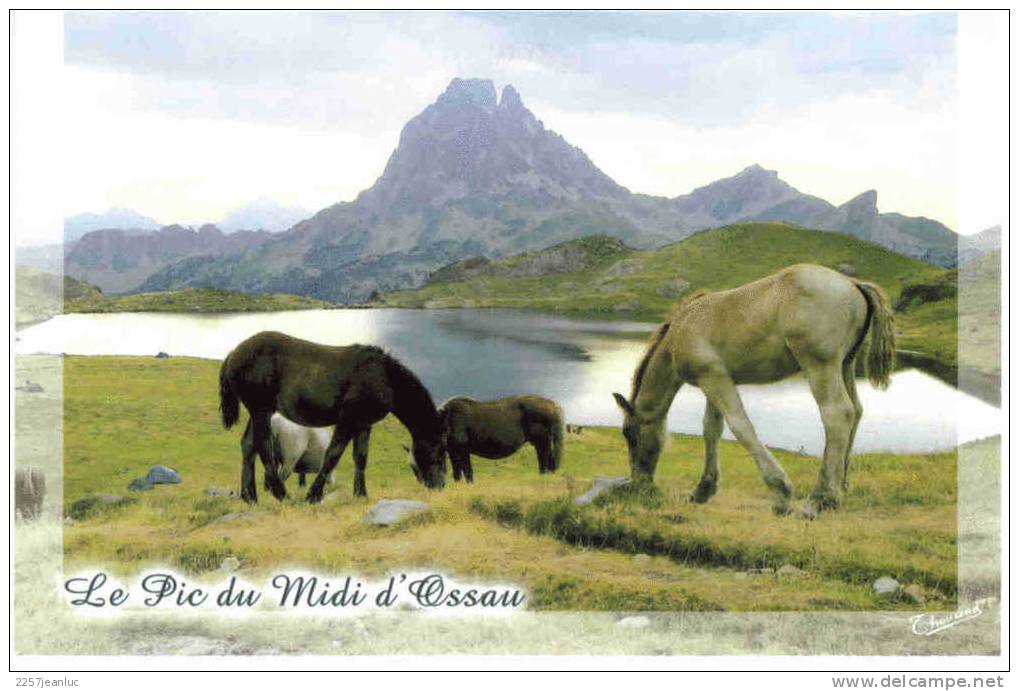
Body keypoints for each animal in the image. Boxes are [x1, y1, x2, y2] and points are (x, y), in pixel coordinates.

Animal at [219, 330, 446, 503]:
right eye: (438, 450)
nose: (441, 486)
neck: (384, 377)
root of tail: (233, 353)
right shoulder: (347, 421)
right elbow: (332, 455)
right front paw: (313, 495)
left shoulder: (364, 424)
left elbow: (360, 458)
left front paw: (361, 494)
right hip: (262, 411)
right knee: (263, 447)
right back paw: (281, 494)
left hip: (258, 412)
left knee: (248, 445)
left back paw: (249, 496)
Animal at [438, 397, 566, 485]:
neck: (446, 419)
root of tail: (552, 405)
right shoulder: (453, 451)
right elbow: (457, 472)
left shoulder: (463, 449)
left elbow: (467, 470)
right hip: (542, 442)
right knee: (547, 460)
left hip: (542, 442)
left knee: (544, 460)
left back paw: (544, 477)